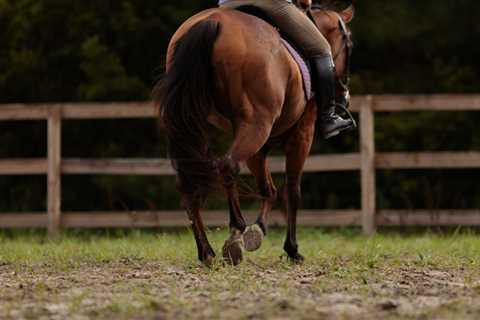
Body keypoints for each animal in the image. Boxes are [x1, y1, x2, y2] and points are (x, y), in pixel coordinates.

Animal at [156, 3, 354, 266]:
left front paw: (258, 230)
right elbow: (292, 190)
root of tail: (213, 21)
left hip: (195, 125)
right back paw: (235, 233)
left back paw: (206, 251)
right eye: (348, 44)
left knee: (188, 182)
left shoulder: (259, 146)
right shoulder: (302, 134)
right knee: (228, 166)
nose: (346, 96)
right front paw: (291, 249)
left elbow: (268, 188)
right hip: (256, 125)